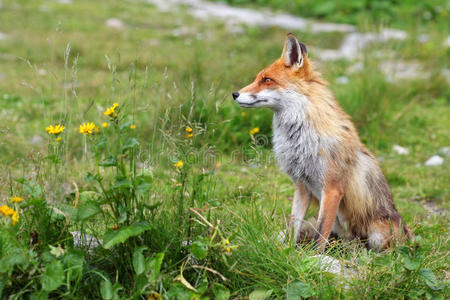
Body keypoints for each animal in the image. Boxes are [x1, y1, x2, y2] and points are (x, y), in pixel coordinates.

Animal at [234, 32, 414, 251]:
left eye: (266, 80)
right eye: (257, 78)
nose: (235, 94)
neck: (301, 139)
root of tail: (408, 234)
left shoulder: (332, 188)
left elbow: (320, 233)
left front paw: (314, 257)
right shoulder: (302, 186)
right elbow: (293, 226)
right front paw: (287, 251)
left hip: (378, 234)